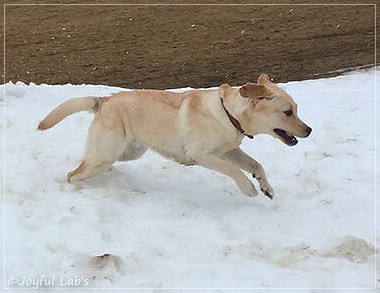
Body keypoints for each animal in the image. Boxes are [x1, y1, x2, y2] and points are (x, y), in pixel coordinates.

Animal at [37, 73, 312, 198]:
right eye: (288, 112)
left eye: (297, 109)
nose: (309, 130)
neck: (228, 113)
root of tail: (102, 100)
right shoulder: (202, 154)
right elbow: (234, 170)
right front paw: (248, 189)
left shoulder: (229, 151)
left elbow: (256, 164)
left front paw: (266, 187)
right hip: (104, 155)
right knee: (73, 173)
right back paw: (80, 187)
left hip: (127, 152)